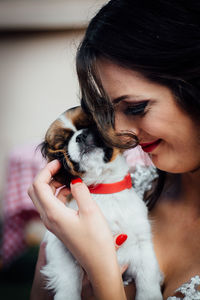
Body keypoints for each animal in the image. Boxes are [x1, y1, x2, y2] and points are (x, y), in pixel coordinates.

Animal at [40, 105, 162, 300]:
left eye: (92, 125)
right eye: (63, 143)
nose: (81, 136)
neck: (103, 188)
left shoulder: (142, 243)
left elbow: (148, 279)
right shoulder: (61, 245)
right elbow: (68, 279)